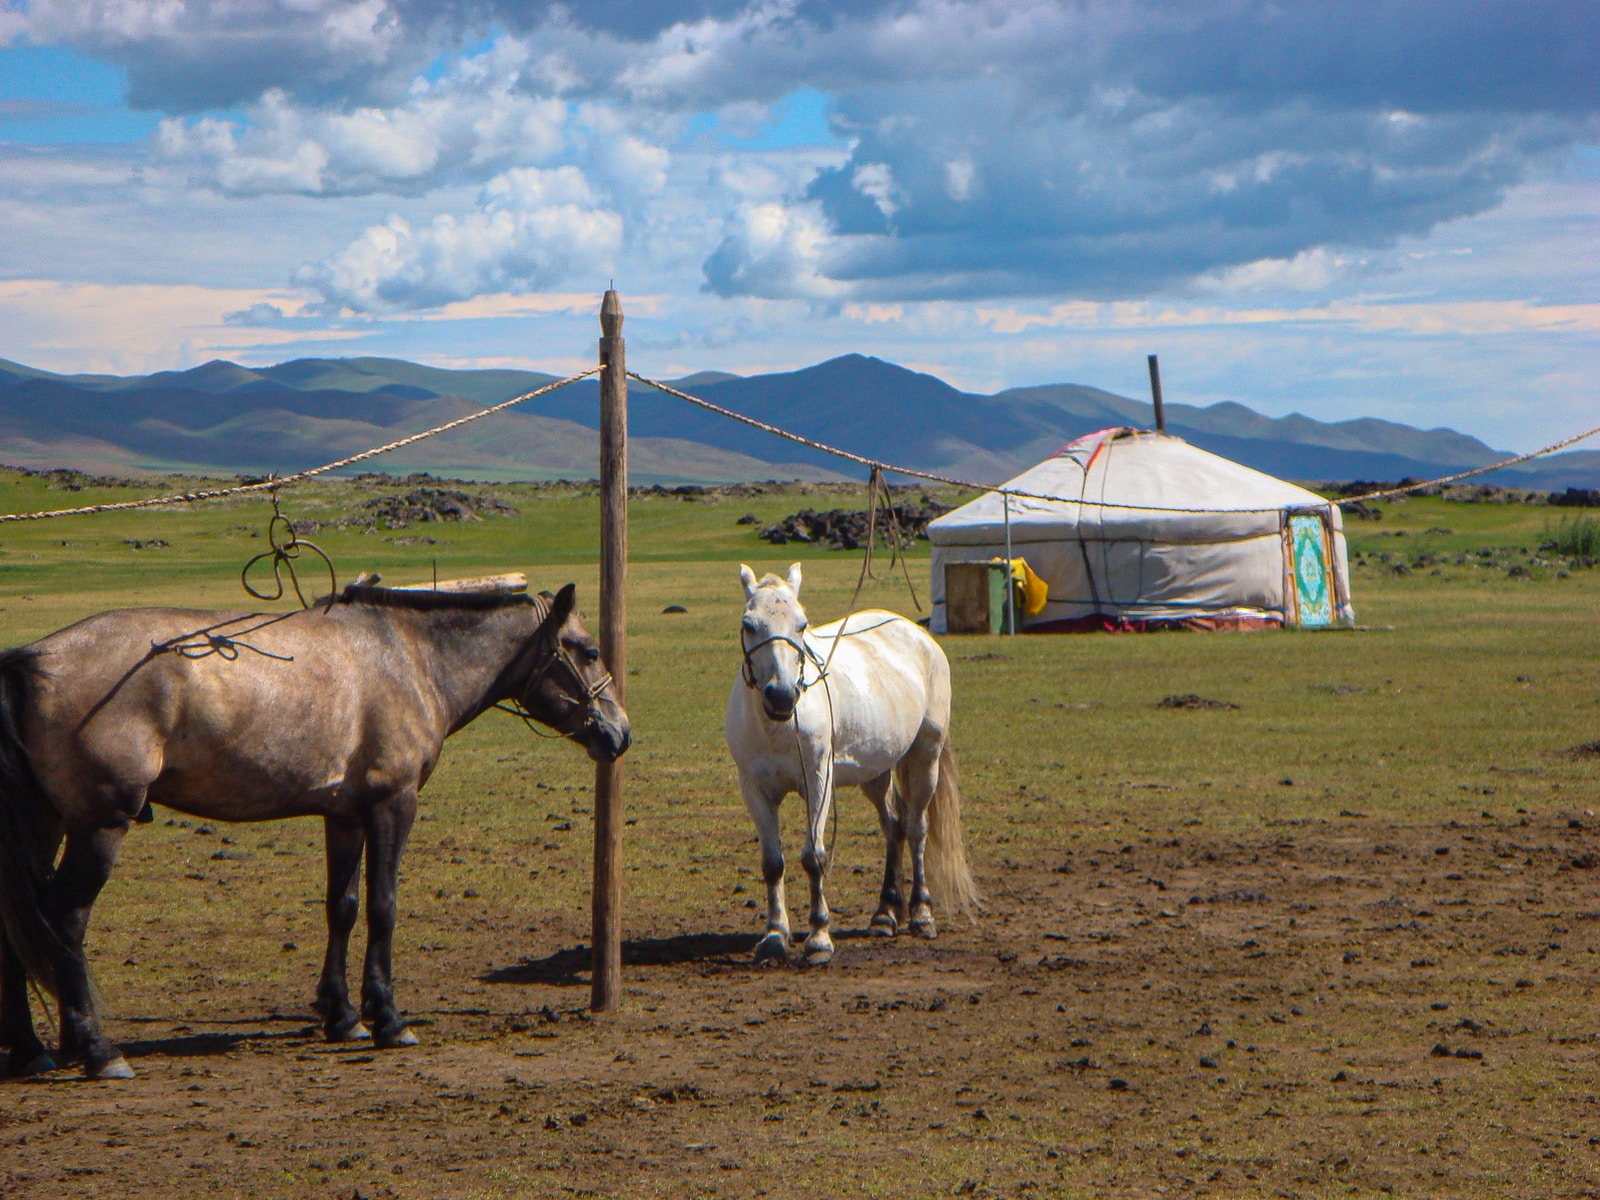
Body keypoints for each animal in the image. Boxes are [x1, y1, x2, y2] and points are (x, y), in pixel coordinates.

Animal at [0, 579, 630, 1081]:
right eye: (590, 650)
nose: (620, 734)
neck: (408, 658)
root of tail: (31, 658)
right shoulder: (393, 805)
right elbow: (383, 907)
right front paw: (387, 1019)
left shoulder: (345, 815)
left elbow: (342, 907)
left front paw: (343, 1015)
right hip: (100, 828)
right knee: (64, 921)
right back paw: (98, 1050)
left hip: (49, 826)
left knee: (21, 925)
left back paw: (32, 1050)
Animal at [723, 563, 972, 966]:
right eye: (749, 624)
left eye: (802, 624)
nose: (781, 695)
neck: (777, 727)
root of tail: (917, 633)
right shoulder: (755, 790)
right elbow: (773, 863)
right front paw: (775, 936)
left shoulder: (818, 783)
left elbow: (814, 857)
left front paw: (818, 938)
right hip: (876, 773)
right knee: (894, 826)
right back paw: (885, 914)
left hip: (925, 757)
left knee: (916, 829)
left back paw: (921, 914)